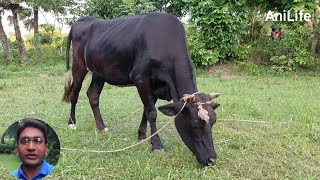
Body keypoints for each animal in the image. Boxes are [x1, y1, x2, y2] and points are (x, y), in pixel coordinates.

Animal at [63, 12, 221, 166]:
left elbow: (146, 110)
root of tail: (84, 19)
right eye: (195, 122)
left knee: (93, 95)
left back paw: (102, 127)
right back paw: (72, 123)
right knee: (75, 94)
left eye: (214, 121)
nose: (212, 159)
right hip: (79, 65)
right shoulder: (141, 78)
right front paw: (157, 145)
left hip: (99, 72)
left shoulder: (156, 87)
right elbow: (152, 112)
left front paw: (142, 135)